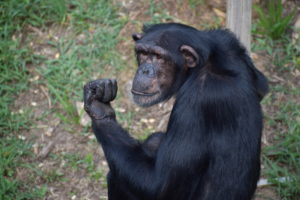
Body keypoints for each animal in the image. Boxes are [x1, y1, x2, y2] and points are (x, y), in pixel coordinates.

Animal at [83, 22, 268, 199]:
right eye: (142, 53)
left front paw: (99, 108)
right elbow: (263, 87)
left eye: (158, 57)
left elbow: (158, 185)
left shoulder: (197, 100)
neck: (202, 65)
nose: (144, 70)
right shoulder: (228, 42)